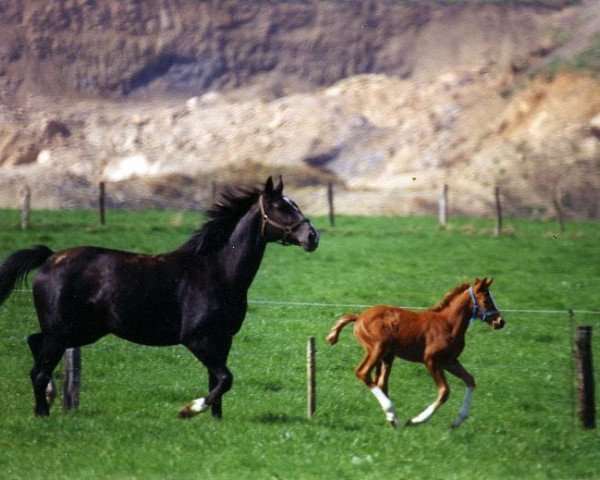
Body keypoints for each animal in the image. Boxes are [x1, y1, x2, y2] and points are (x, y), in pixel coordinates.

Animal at [0, 178, 318, 418]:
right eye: (280, 206)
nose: (312, 237)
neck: (216, 271)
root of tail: (49, 258)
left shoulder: (222, 339)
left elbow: (217, 380)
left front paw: (215, 419)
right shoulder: (197, 338)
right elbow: (226, 379)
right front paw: (189, 409)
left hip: (80, 331)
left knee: (34, 346)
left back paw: (47, 401)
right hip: (63, 332)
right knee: (39, 370)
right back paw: (43, 412)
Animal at [326, 278, 504, 428]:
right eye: (486, 300)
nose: (500, 322)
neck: (448, 324)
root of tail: (359, 317)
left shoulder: (450, 361)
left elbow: (470, 380)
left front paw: (458, 421)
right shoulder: (431, 361)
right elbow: (444, 391)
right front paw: (416, 420)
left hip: (387, 356)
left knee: (381, 382)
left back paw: (393, 420)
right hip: (378, 348)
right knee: (363, 372)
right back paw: (392, 413)